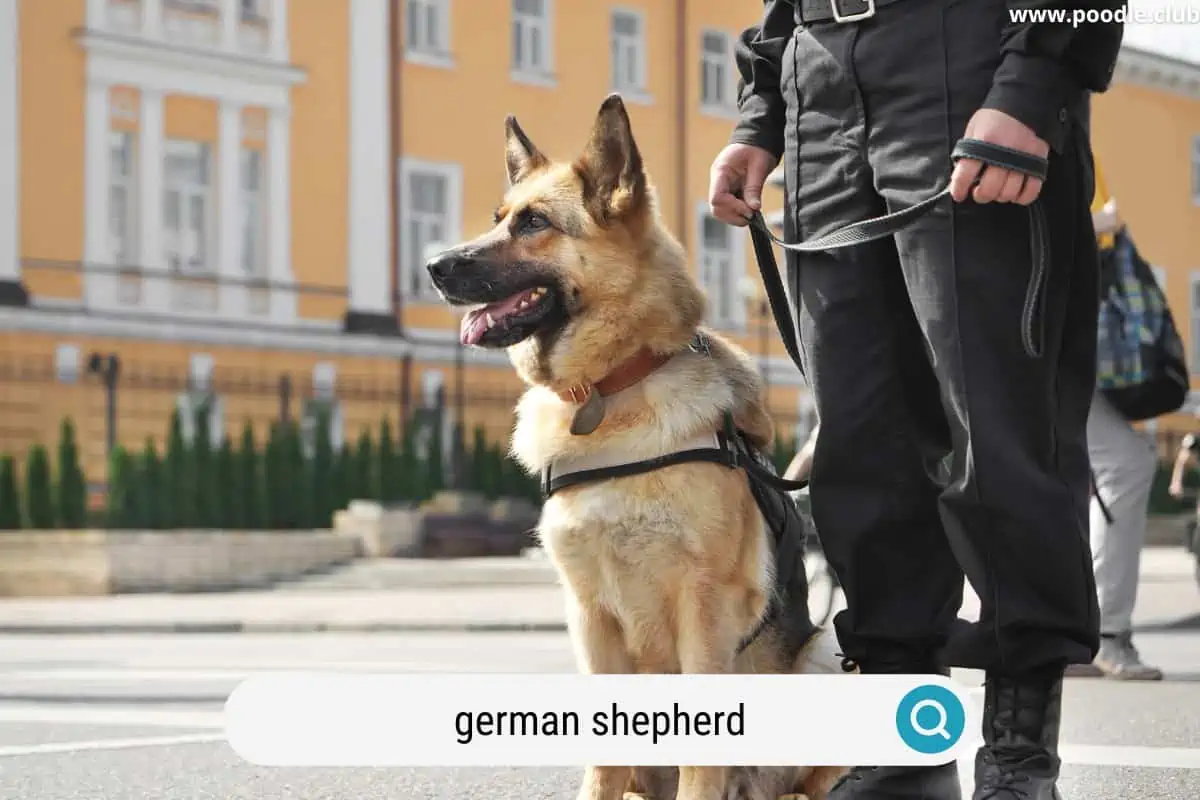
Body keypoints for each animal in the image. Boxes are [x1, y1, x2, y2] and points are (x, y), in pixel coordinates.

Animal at [427, 95, 849, 800]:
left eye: (534, 223)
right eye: (498, 219)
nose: (432, 266)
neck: (612, 387)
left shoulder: (703, 611)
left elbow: (701, 758)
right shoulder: (589, 616)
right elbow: (604, 757)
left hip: (829, 656)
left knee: (810, 778)